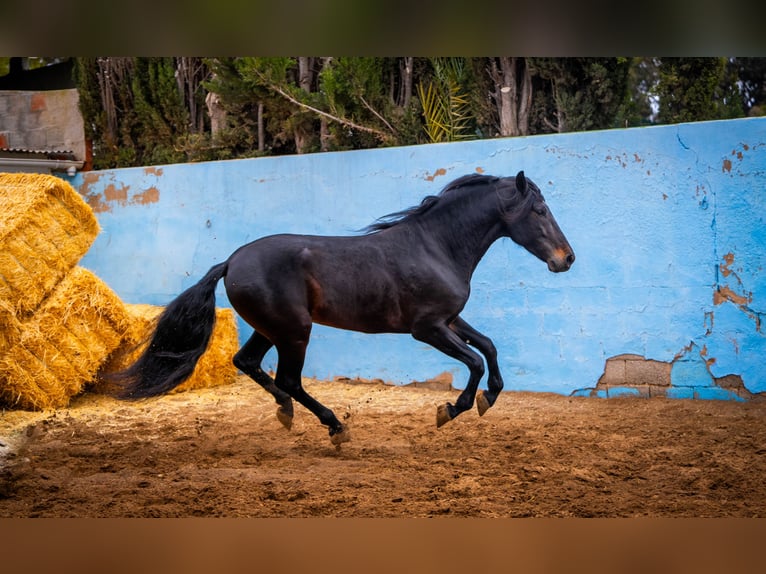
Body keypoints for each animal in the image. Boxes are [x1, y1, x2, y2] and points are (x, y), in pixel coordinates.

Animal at [117, 173, 576, 448]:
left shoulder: (449, 319)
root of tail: (231, 261)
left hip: (271, 329)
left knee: (247, 363)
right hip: (295, 332)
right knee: (288, 379)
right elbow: (475, 361)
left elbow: (489, 347)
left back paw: (285, 412)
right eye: (539, 211)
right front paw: (450, 410)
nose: (566, 259)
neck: (436, 246)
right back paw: (335, 426)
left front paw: (488, 398)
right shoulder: (427, 328)